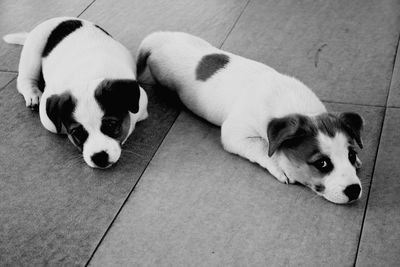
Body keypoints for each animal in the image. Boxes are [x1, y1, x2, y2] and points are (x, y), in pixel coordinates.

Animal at [3, 16, 148, 169]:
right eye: (77, 133)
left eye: (111, 125)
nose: (99, 157)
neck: (89, 76)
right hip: (33, 51)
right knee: (23, 80)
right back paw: (32, 94)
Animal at [138, 32, 366, 206]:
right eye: (322, 163)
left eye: (351, 155)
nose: (354, 190)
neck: (296, 106)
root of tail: (160, 38)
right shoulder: (235, 134)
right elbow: (264, 149)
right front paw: (280, 167)